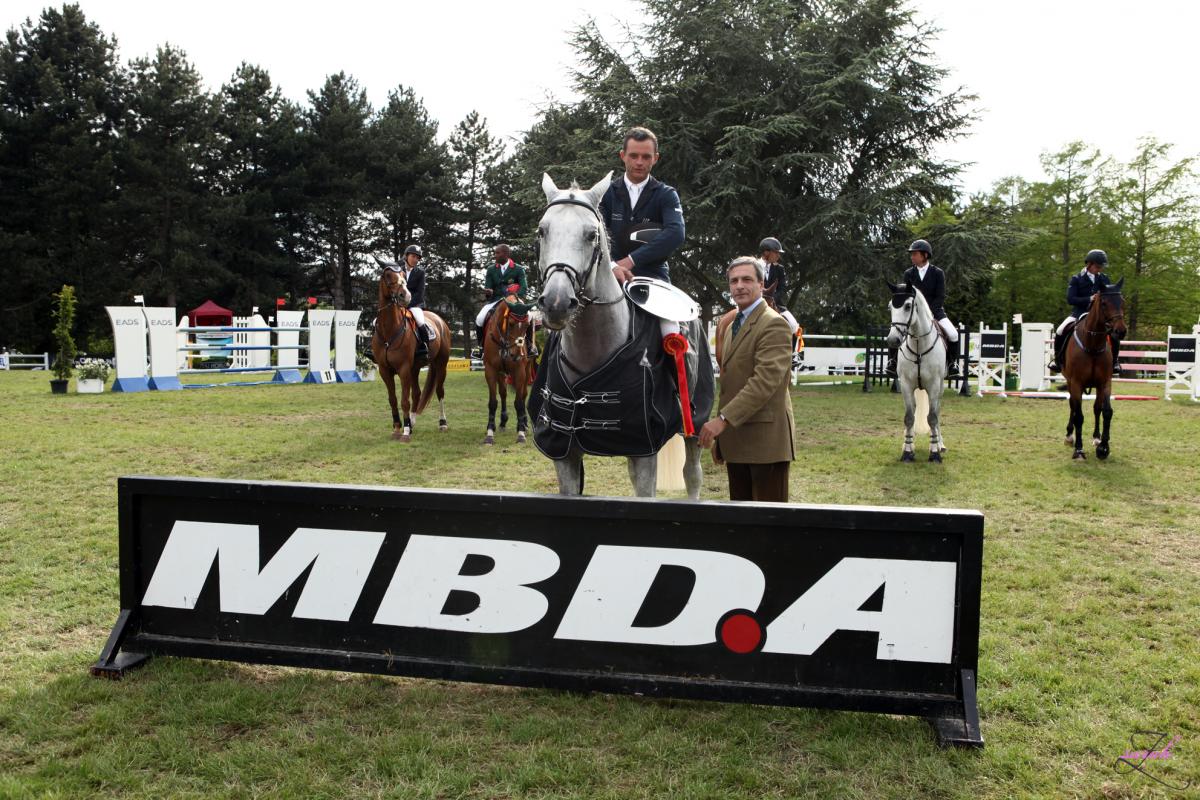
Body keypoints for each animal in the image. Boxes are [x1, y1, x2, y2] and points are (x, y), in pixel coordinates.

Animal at [369, 267, 451, 443]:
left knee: (439, 391)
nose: (405, 296)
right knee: (417, 393)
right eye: (388, 276)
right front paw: (397, 428)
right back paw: (412, 424)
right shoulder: (385, 370)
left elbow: (404, 400)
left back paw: (442, 423)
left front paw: (405, 432)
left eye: (402, 276)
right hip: (415, 368)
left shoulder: (403, 369)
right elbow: (393, 399)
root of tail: (440, 320)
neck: (389, 329)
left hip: (440, 365)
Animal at [482, 303, 535, 448]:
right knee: (503, 393)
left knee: (523, 395)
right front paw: (490, 433)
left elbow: (519, 402)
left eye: (527, 325)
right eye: (510, 324)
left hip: (527, 370)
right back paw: (502, 422)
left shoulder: (519, 372)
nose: (517, 355)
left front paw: (521, 434)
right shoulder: (491, 370)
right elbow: (493, 402)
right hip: (501, 373)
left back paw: (524, 424)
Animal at [530, 172, 705, 496]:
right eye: (542, 231)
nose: (556, 303)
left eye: (591, 235)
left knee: (692, 474)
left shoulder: (644, 452)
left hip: (696, 423)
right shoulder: (564, 455)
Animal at [883, 280, 945, 460]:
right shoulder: (906, 385)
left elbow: (932, 418)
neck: (919, 345)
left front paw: (934, 453)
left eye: (908, 306)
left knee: (937, 413)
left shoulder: (934, 386)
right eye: (890, 307)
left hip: (940, 388)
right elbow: (909, 418)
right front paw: (908, 452)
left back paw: (940, 444)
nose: (893, 340)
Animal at [1060, 277, 1123, 460]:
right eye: (1104, 303)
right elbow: (1079, 415)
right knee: (1073, 406)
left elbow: (1106, 411)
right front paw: (1079, 450)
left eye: (1122, 301)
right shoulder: (1076, 383)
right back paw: (1069, 436)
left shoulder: (1105, 382)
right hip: (1071, 382)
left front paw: (1103, 447)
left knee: (1096, 409)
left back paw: (1096, 438)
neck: (1093, 344)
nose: (1121, 331)